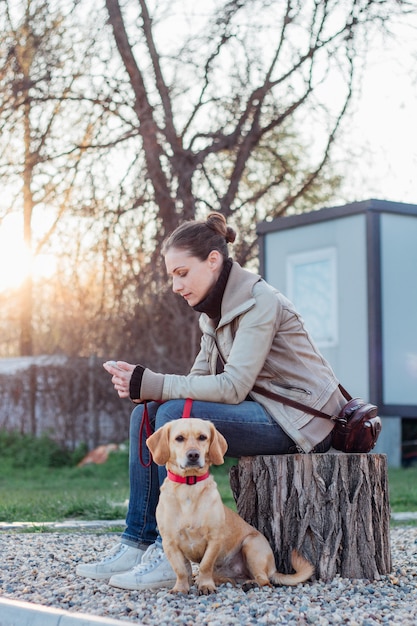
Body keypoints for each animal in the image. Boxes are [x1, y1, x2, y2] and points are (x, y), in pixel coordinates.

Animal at [146, 416, 312, 592]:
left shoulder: (214, 539)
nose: (193, 455)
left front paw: (205, 585)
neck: (189, 487)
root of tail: (273, 568)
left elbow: (205, 565)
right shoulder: (170, 542)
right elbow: (181, 570)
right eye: (179, 438)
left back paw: (252, 583)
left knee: (265, 580)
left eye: (202, 437)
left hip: (251, 546)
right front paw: (181, 588)